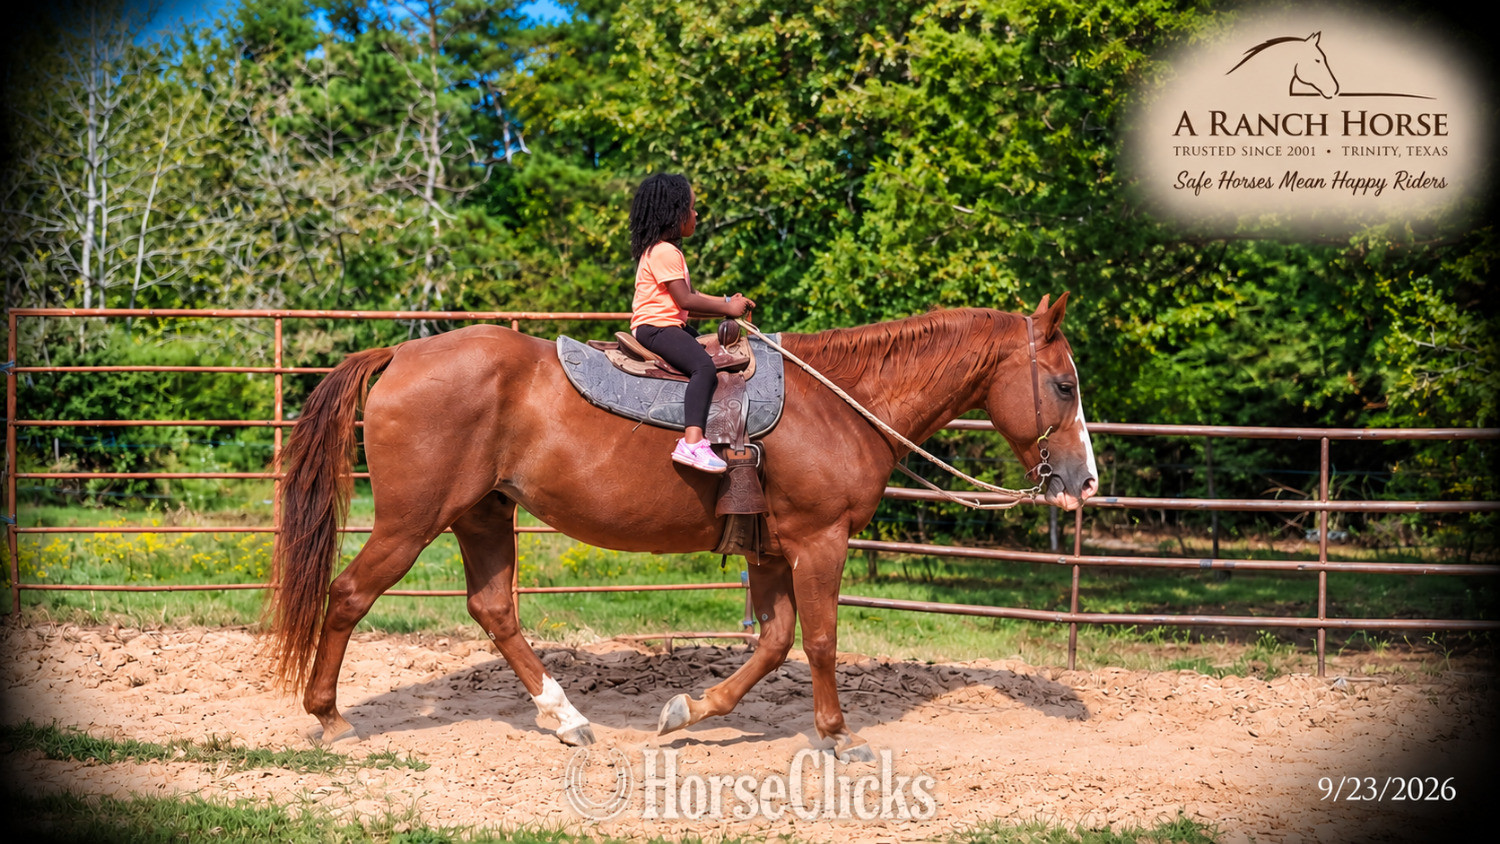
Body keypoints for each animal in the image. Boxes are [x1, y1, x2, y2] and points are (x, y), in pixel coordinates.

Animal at [266, 293, 1099, 762]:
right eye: (1063, 384)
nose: (1084, 481)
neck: (841, 402)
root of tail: (401, 352)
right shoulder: (819, 541)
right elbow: (822, 641)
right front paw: (837, 736)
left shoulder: (770, 550)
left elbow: (774, 643)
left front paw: (688, 711)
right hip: (412, 521)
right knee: (348, 596)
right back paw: (329, 718)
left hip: (484, 515)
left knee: (493, 609)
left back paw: (566, 718)